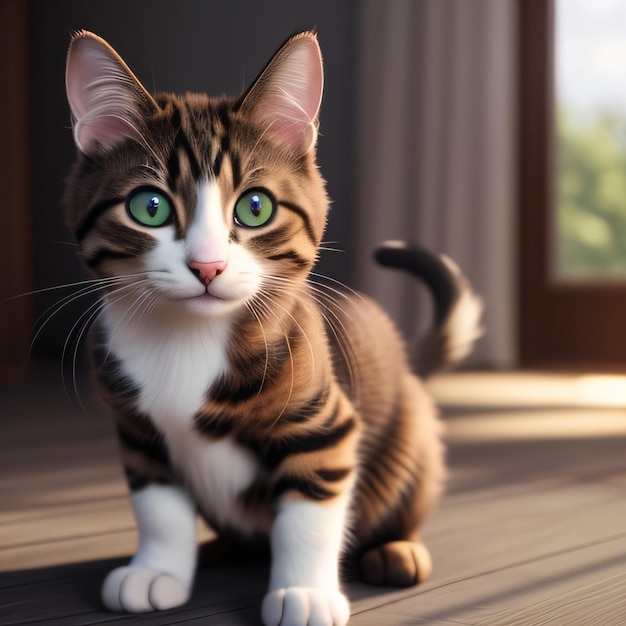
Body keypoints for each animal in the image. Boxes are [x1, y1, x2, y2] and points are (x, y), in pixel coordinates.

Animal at [63, 29, 480, 624]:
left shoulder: (325, 424)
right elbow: (160, 508)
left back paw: (397, 549)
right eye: (150, 207)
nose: (207, 266)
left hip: (410, 436)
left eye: (255, 207)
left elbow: (309, 514)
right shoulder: (137, 432)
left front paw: (303, 591)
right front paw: (158, 570)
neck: (187, 338)